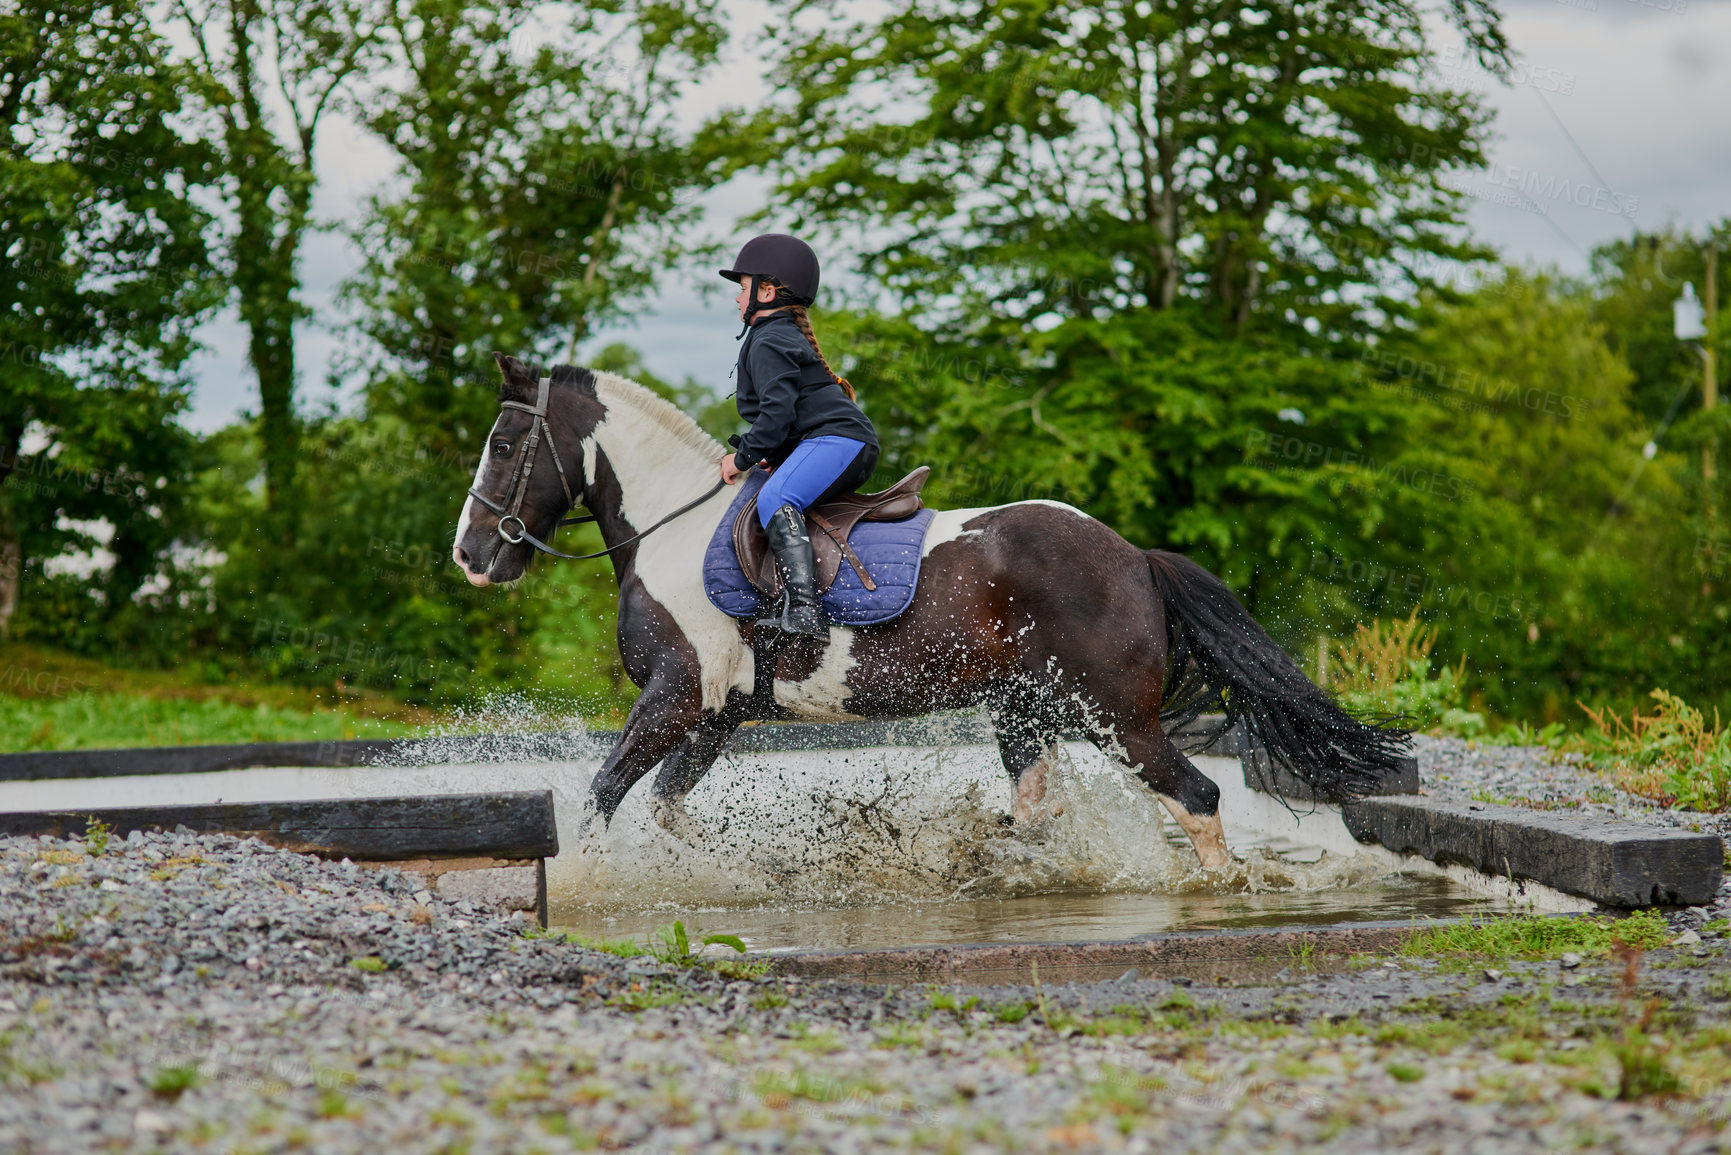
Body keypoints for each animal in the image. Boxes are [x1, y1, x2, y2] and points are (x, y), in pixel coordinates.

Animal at [450, 356, 1405, 872]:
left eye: (502, 444)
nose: (470, 556)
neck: (672, 527)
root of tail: (1135, 555)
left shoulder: (674, 699)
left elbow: (604, 795)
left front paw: (591, 884)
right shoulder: (716, 714)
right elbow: (668, 808)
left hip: (1113, 715)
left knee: (1195, 794)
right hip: (1025, 711)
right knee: (1037, 807)